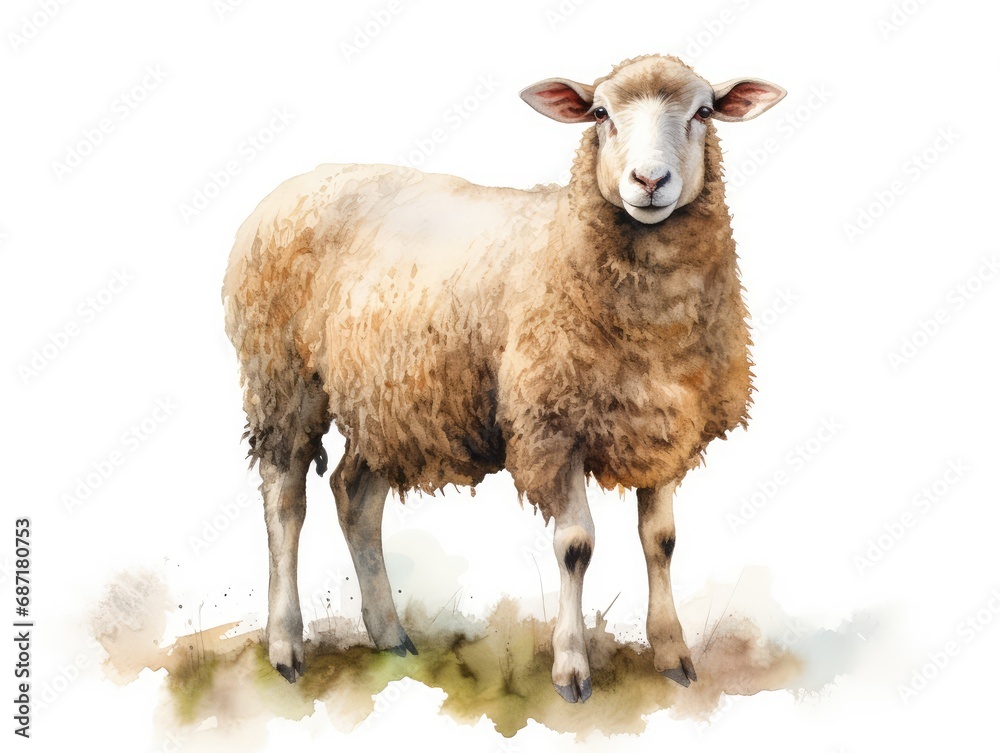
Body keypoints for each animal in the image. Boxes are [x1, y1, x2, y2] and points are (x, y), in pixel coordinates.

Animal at [222, 53, 785, 703]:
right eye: (600, 114)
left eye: (703, 112)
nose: (649, 181)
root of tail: (297, 181)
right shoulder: (551, 423)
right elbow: (575, 547)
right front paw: (572, 668)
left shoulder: (666, 427)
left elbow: (661, 541)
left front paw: (674, 655)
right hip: (282, 374)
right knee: (285, 497)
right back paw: (286, 646)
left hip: (390, 401)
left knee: (354, 496)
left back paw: (391, 637)